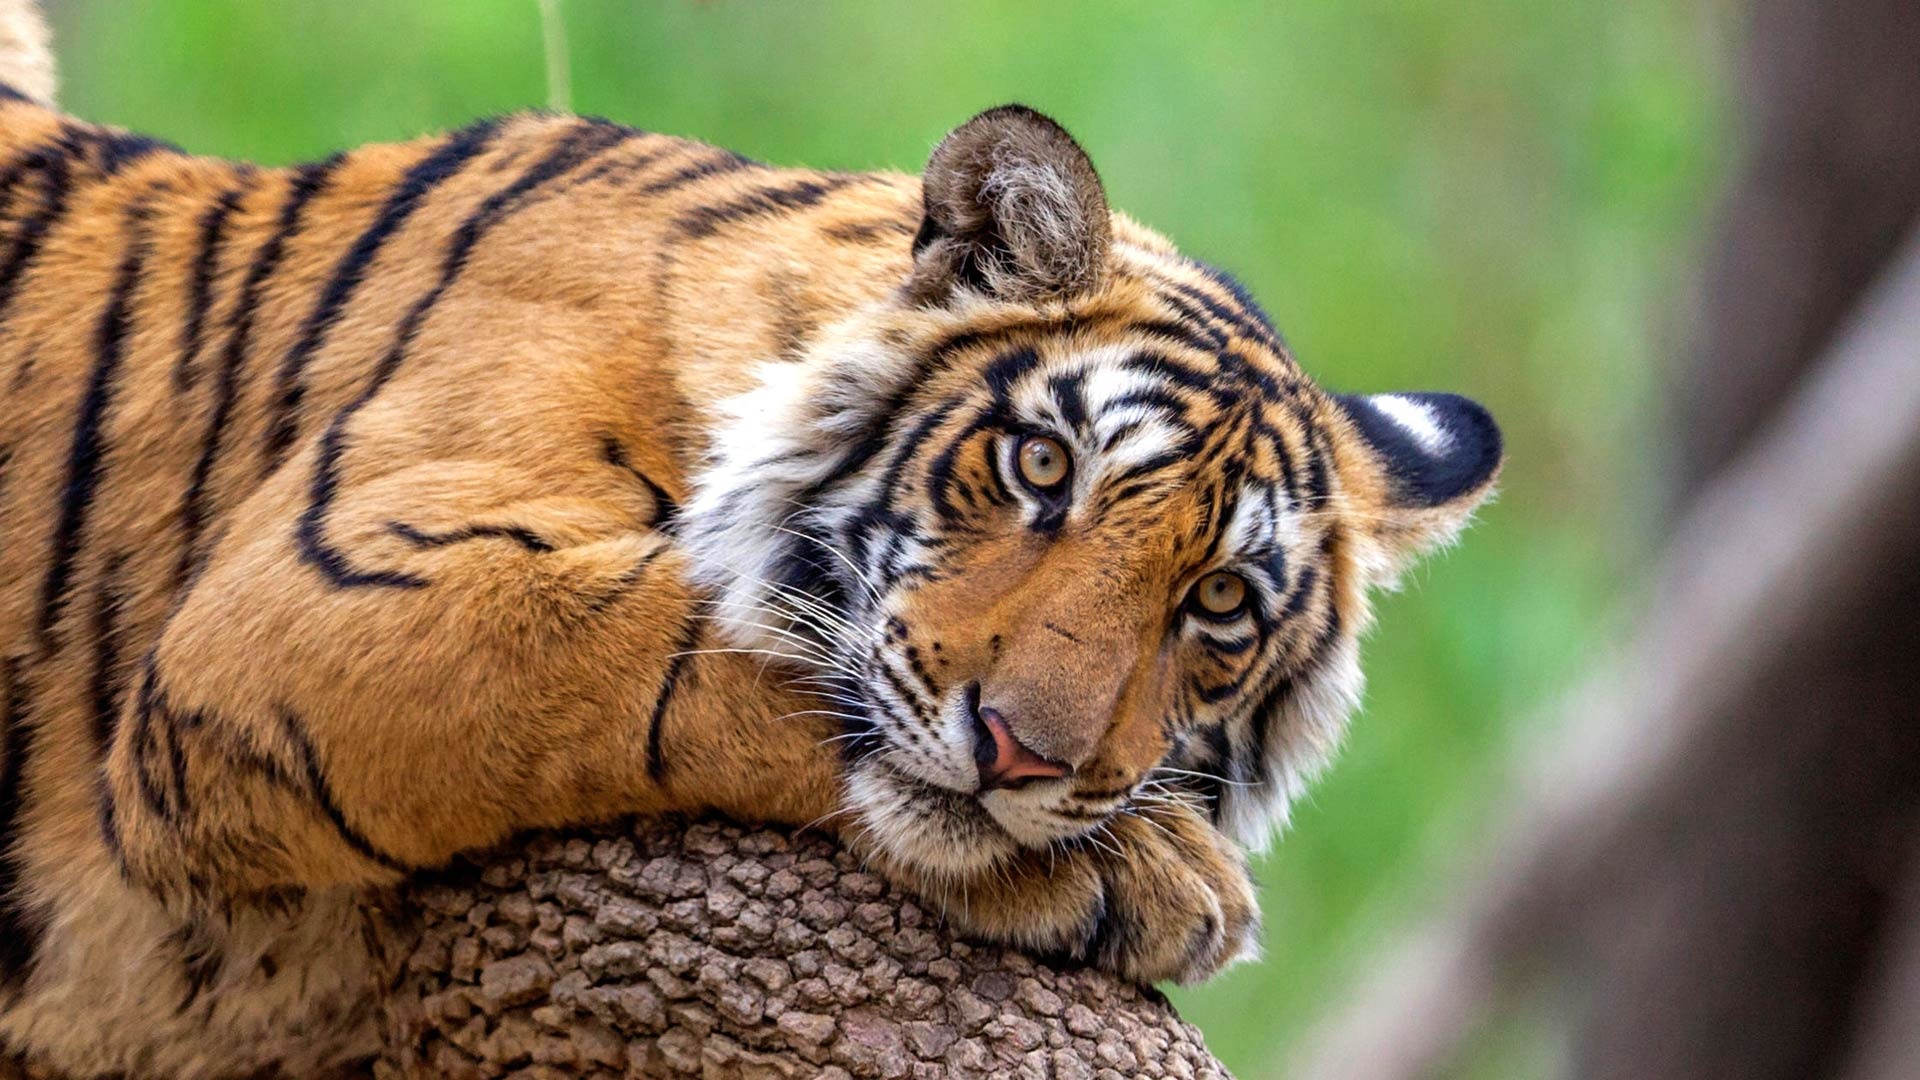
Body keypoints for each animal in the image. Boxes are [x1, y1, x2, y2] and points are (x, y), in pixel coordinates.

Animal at [0, 4, 1501, 1077]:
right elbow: (696, 654)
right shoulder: (299, 610)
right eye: (1040, 466)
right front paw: (1161, 876)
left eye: (1222, 603)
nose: (1024, 755)